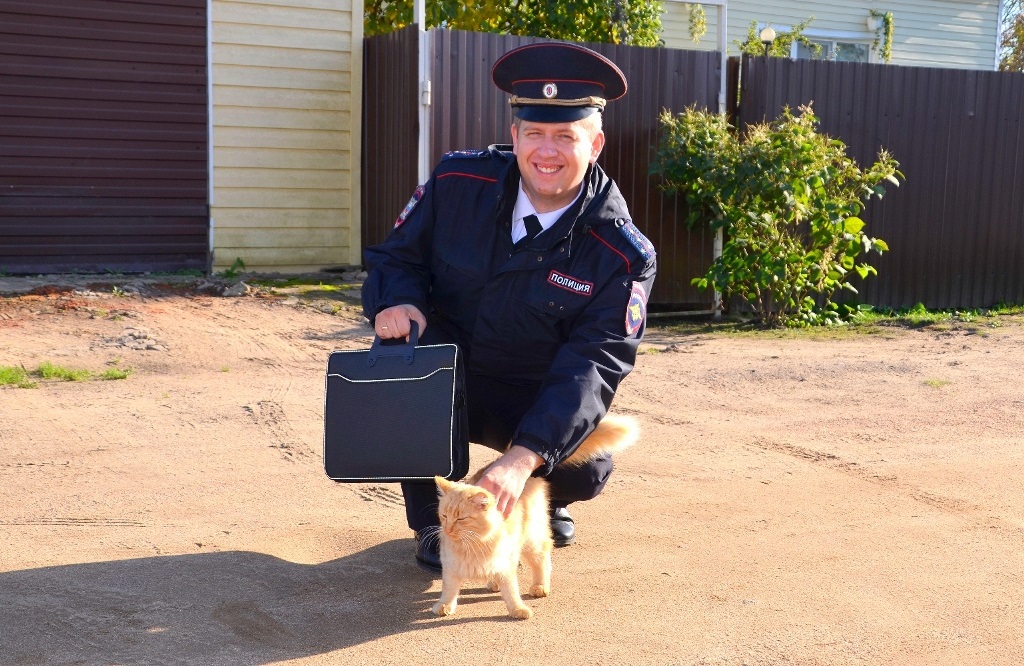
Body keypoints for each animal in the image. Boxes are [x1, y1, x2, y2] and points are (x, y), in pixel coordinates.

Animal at [428, 411, 634, 618]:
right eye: (444, 516)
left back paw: (540, 586)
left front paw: (518, 609)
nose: (447, 529)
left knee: (543, 558)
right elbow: (449, 590)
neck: (473, 544)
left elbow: (511, 591)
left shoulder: (505, 566)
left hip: (531, 540)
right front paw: (444, 605)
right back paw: (494, 583)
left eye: (461, 518)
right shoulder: (451, 568)